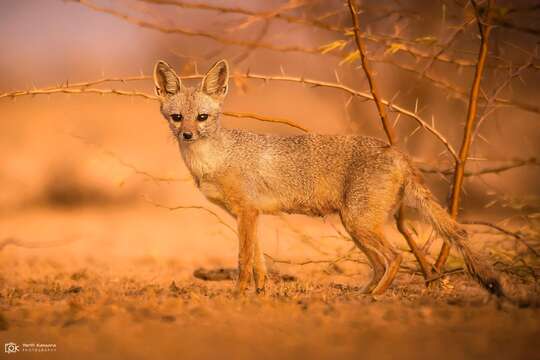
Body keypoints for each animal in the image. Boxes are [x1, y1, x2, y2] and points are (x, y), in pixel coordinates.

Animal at [151, 58, 502, 296]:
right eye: (177, 117)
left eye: (202, 117)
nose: (186, 135)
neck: (213, 159)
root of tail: (395, 151)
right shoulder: (250, 215)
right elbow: (260, 264)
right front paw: (260, 296)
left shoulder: (246, 213)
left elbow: (243, 261)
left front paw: (237, 297)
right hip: (356, 227)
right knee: (381, 263)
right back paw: (361, 295)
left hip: (360, 224)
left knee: (396, 257)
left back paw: (375, 298)